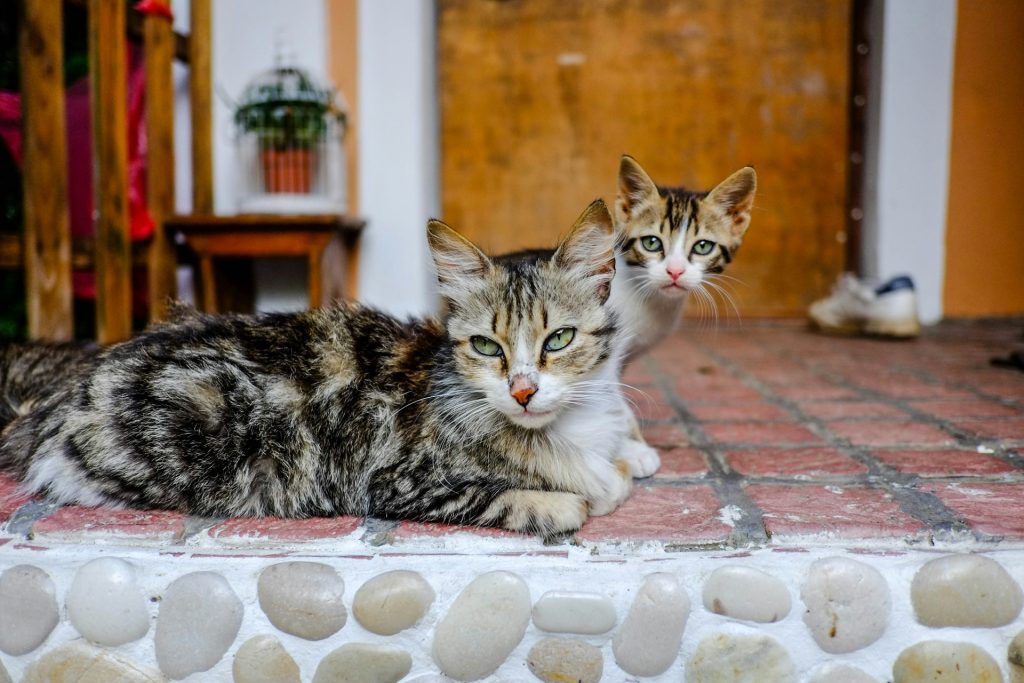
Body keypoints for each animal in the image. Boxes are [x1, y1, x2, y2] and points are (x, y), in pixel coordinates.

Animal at [0, 200, 638, 536]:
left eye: (559, 339)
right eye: (486, 347)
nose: (524, 391)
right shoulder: (397, 481)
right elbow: (520, 497)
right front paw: (572, 498)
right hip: (212, 410)